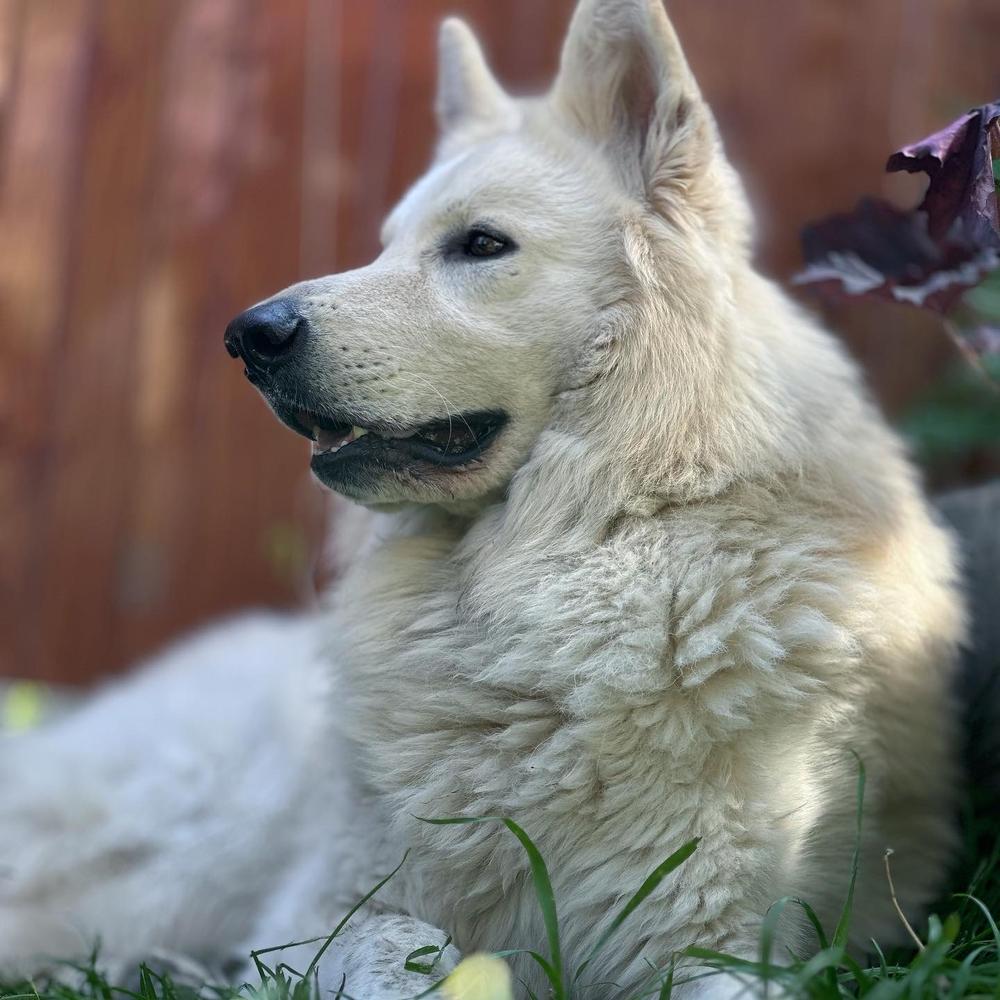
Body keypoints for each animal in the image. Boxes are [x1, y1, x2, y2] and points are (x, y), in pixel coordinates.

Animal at [1, 1, 968, 1000]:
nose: (248, 337)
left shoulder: (723, 939)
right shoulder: (318, 915)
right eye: (384, 244)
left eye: (481, 244)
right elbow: (412, 956)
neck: (587, 545)